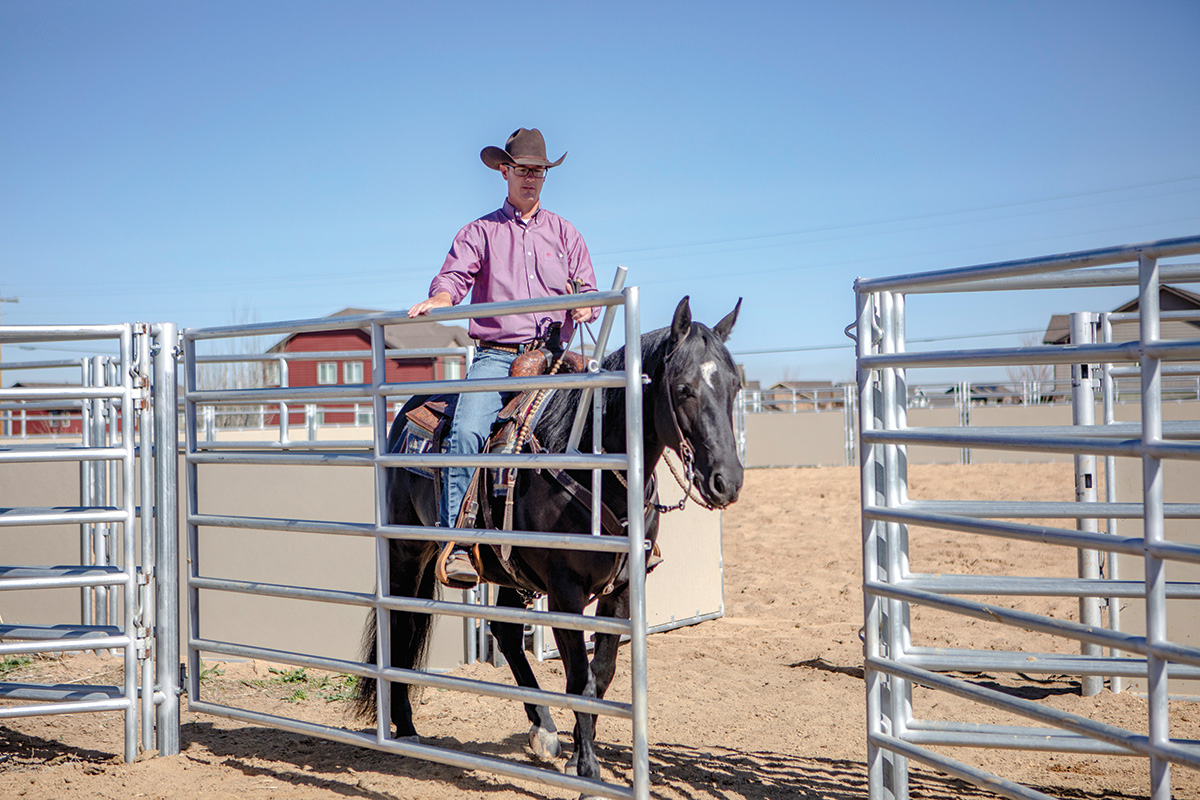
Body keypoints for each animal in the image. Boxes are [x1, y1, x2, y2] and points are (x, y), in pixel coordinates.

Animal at [350, 293, 739, 782]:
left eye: (735, 386)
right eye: (684, 387)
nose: (728, 480)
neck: (593, 466)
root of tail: (406, 412)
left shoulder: (623, 588)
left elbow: (602, 672)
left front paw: (575, 752)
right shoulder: (565, 591)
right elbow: (578, 677)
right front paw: (588, 768)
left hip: (509, 570)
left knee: (504, 633)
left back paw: (544, 729)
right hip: (406, 550)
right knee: (399, 627)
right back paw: (405, 728)